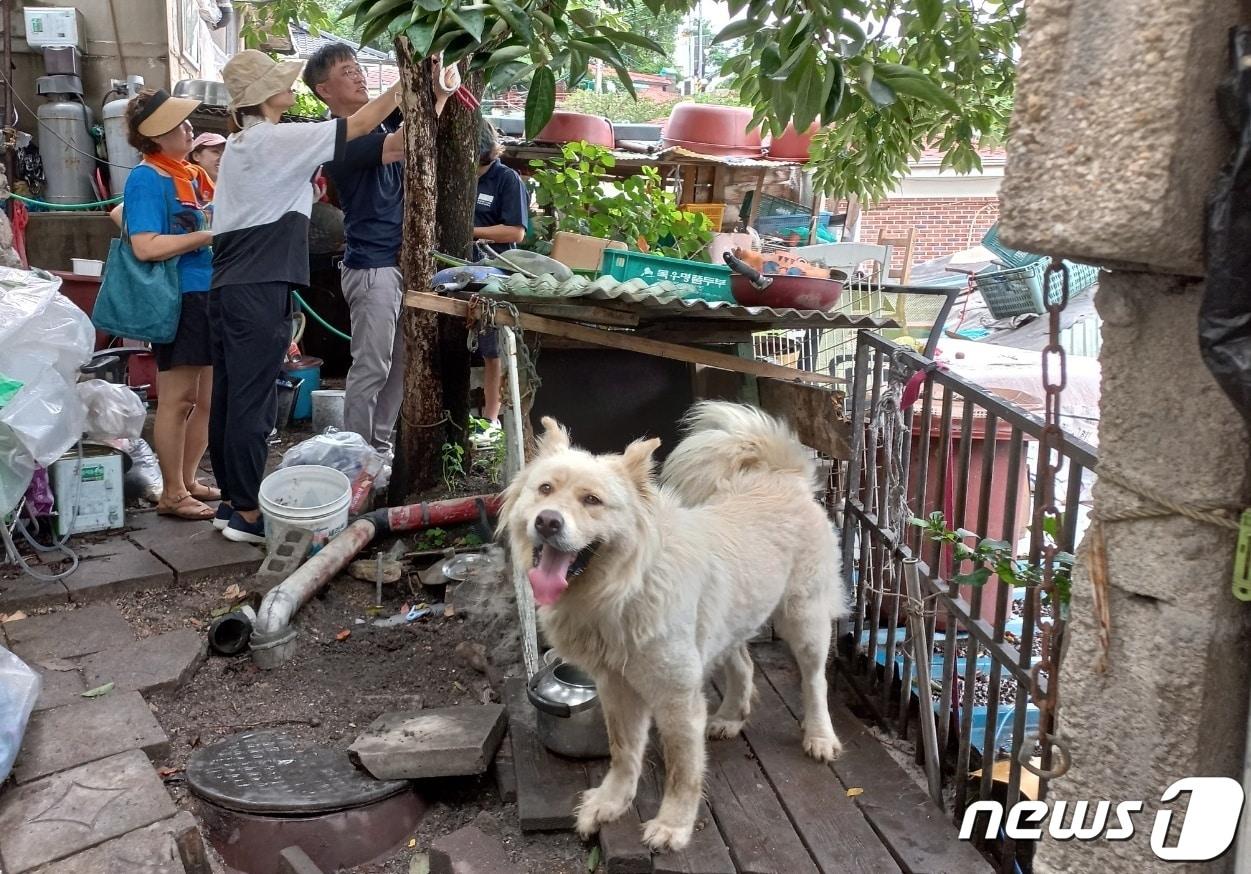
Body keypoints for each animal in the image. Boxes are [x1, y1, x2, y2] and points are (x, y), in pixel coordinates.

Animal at [500, 405, 850, 855]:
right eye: (545, 489)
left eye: (591, 500)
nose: (547, 522)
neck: (623, 588)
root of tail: (784, 473)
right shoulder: (617, 688)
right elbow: (623, 752)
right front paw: (611, 803)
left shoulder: (677, 698)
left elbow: (683, 770)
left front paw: (673, 825)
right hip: (728, 624)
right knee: (744, 665)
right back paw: (731, 717)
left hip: (804, 620)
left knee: (814, 680)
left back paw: (820, 737)